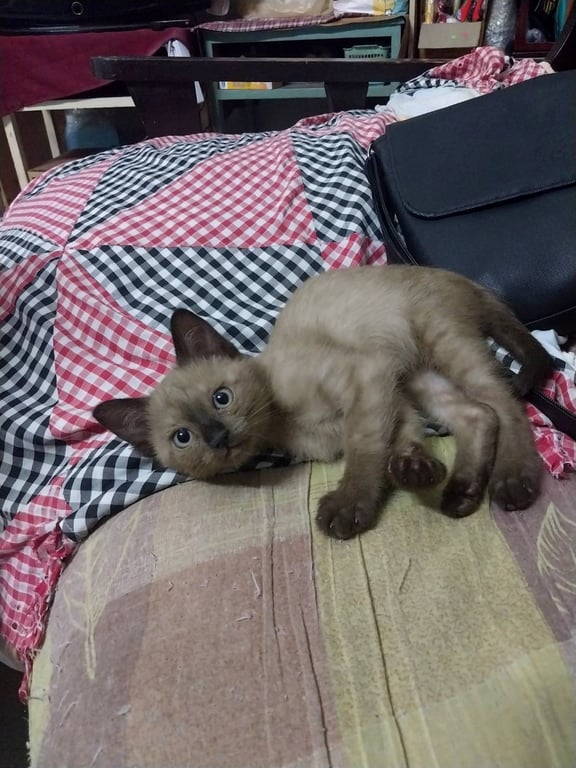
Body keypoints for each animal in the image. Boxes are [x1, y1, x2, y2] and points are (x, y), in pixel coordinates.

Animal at [93, 265, 553, 540]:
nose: (218, 437)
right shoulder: (393, 394)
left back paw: (513, 480)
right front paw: (415, 469)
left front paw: (348, 506)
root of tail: (455, 275)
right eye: (183, 438)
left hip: (441, 342)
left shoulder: (367, 378)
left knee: (504, 403)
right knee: (478, 414)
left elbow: (364, 449)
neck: (282, 422)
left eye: (221, 397)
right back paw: (462, 491)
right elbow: (399, 442)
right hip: (420, 375)